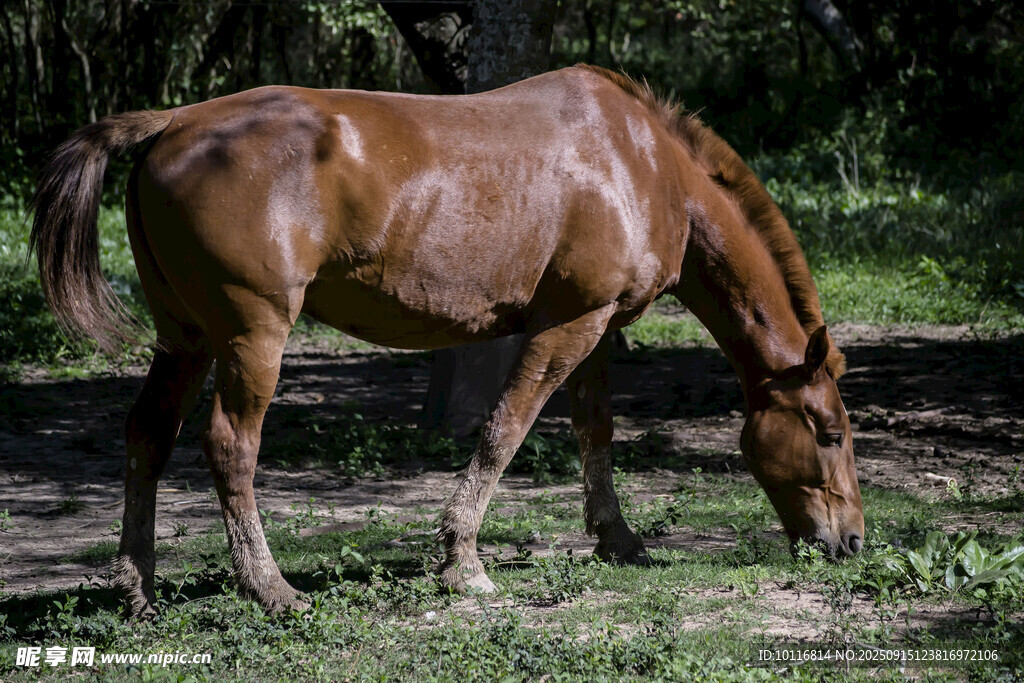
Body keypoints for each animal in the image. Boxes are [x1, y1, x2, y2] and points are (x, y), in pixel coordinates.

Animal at [30, 64, 863, 617]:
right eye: (828, 431)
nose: (851, 539)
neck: (640, 160)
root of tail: (175, 122)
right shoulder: (565, 326)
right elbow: (503, 431)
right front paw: (462, 561)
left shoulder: (595, 329)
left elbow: (595, 429)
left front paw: (618, 538)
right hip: (249, 338)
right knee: (230, 447)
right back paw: (270, 588)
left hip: (186, 338)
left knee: (147, 434)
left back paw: (137, 587)